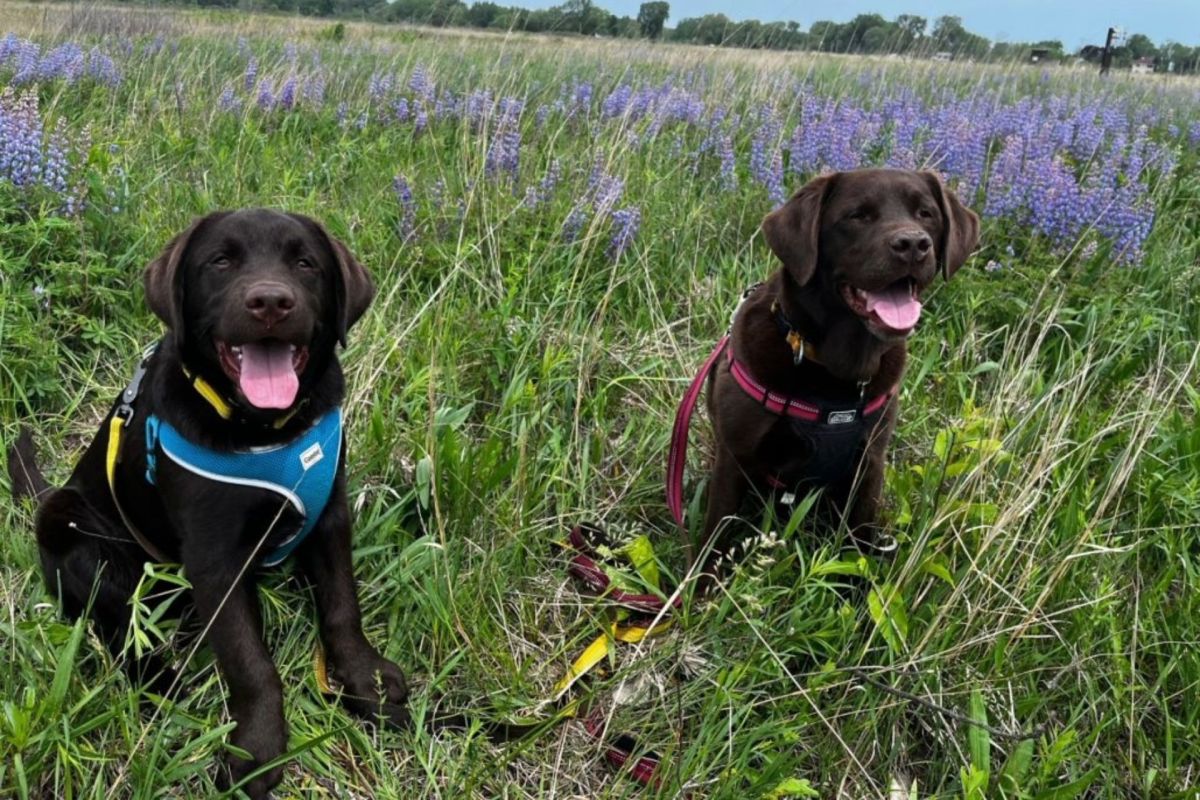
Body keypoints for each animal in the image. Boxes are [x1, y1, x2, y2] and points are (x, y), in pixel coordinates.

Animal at [8, 209, 407, 797]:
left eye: (305, 263)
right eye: (220, 261)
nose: (271, 301)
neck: (264, 433)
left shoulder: (328, 517)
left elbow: (341, 607)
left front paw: (365, 680)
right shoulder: (215, 558)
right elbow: (249, 660)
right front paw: (257, 751)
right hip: (70, 524)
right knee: (116, 631)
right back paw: (165, 687)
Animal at [699, 168, 979, 574]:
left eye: (926, 214)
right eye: (857, 216)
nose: (913, 243)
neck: (834, 374)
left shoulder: (869, 466)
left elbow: (858, 544)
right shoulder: (734, 457)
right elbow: (713, 543)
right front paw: (697, 589)